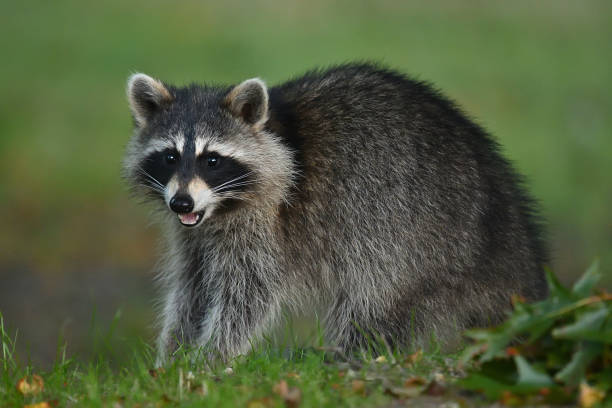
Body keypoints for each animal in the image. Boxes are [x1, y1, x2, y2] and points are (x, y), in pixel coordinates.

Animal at [122, 62, 548, 362]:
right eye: (169, 157)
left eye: (212, 160)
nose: (181, 203)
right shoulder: (193, 233)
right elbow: (192, 287)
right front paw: (173, 356)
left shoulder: (268, 226)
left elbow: (246, 296)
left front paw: (210, 358)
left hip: (416, 235)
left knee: (375, 298)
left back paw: (351, 354)